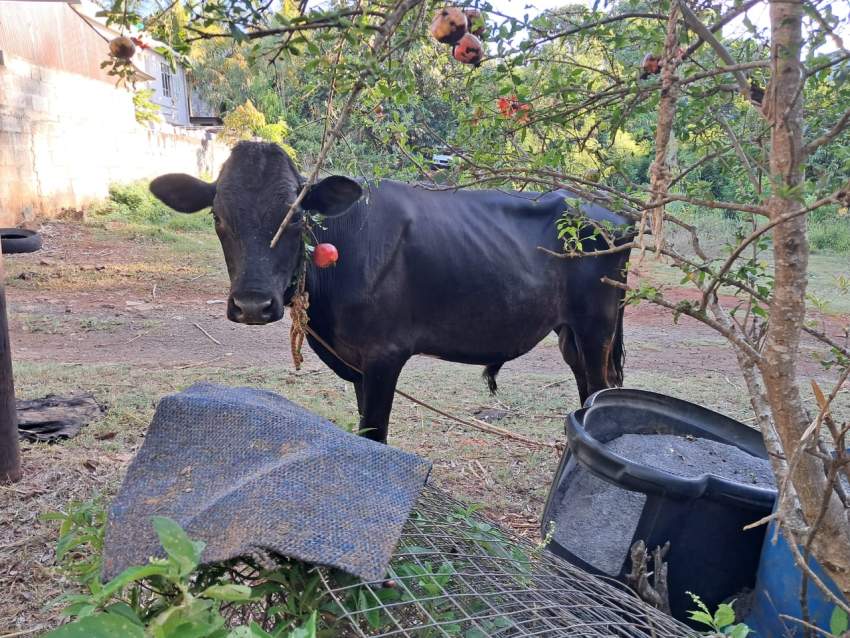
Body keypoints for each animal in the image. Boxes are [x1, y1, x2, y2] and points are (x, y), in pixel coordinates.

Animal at [151, 144, 628, 444]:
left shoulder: (385, 354)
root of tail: (611, 213)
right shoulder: (357, 363)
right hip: (569, 332)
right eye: (217, 216)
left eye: (298, 216)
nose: (252, 304)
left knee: (600, 388)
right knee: (589, 388)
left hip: (597, 326)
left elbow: (373, 433)